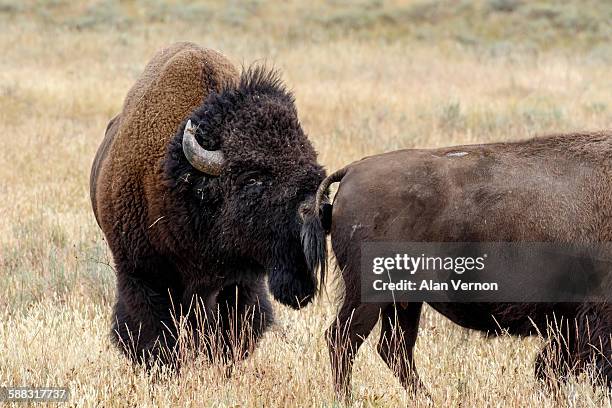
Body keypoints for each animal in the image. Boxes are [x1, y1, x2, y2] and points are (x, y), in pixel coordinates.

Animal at [304, 131, 612, 398]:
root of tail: (351, 171)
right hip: (369, 295)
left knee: (394, 348)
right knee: (344, 340)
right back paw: (347, 398)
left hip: (403, 301)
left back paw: (427, 398)